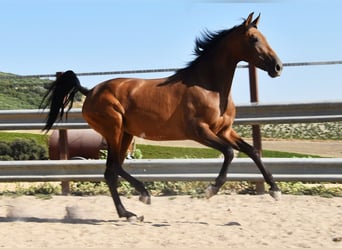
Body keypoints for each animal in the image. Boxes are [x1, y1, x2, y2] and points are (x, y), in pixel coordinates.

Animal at [41, 12, 284, 222]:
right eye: (253, 39)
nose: (278, 67)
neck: (209, 87)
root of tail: (90, 91)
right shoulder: (199, 131)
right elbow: (230, 152)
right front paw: (211, 189)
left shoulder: (224, 131)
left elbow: (252, 151)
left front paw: (275, 190)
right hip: (114, 130)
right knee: (112, 169)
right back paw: (140, 198)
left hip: (126, 134)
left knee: (112, 171)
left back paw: (130, 211)